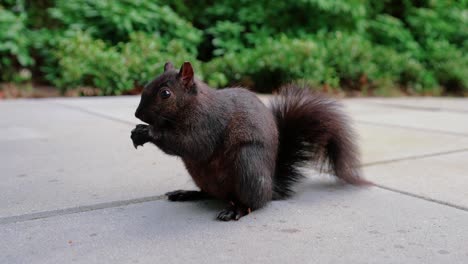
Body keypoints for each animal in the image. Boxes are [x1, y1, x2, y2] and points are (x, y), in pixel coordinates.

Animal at [132, 61, 370, 221]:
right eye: (147, 85)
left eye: (165, 93)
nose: (137, 114)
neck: (192, 105)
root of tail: (270, 188)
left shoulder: (208, 124)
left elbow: (194, 145)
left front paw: (148, 132)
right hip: (202, 176)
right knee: (208, 192)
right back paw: (186, 193)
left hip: (247, 165)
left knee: (253, 203)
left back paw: (236, 209)